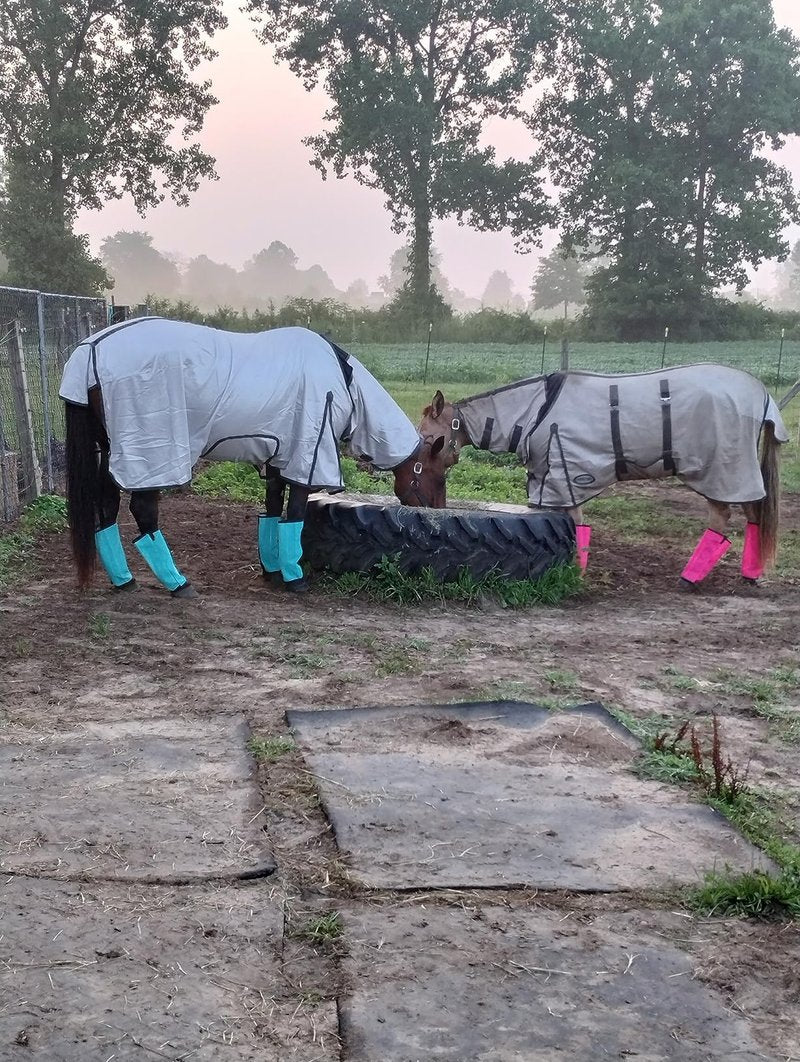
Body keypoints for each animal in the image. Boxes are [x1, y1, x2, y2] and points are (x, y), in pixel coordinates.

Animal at [61, 318, 422, 597]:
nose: (426, 512)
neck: (343, 381)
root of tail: (90, 351)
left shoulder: (278, 460)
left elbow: (272, 513)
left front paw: (272, 572)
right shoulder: (307, 458)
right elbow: (294, 515)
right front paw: (295, 579)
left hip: (113, 451)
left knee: (107, 506)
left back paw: (125, 581)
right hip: (153, 455)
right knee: (143, 512)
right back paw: (178, 584)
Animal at [410, 365, 789, 588]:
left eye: (429, 438)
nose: (427, 499)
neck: (534, 412)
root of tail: (762, 396)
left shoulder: (565, 475)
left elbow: (576, 526)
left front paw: (575, 574)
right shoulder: (551, 479)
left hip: (722, 469)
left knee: (730, 514)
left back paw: (693, 577)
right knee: (751, 514)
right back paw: (747, 574)